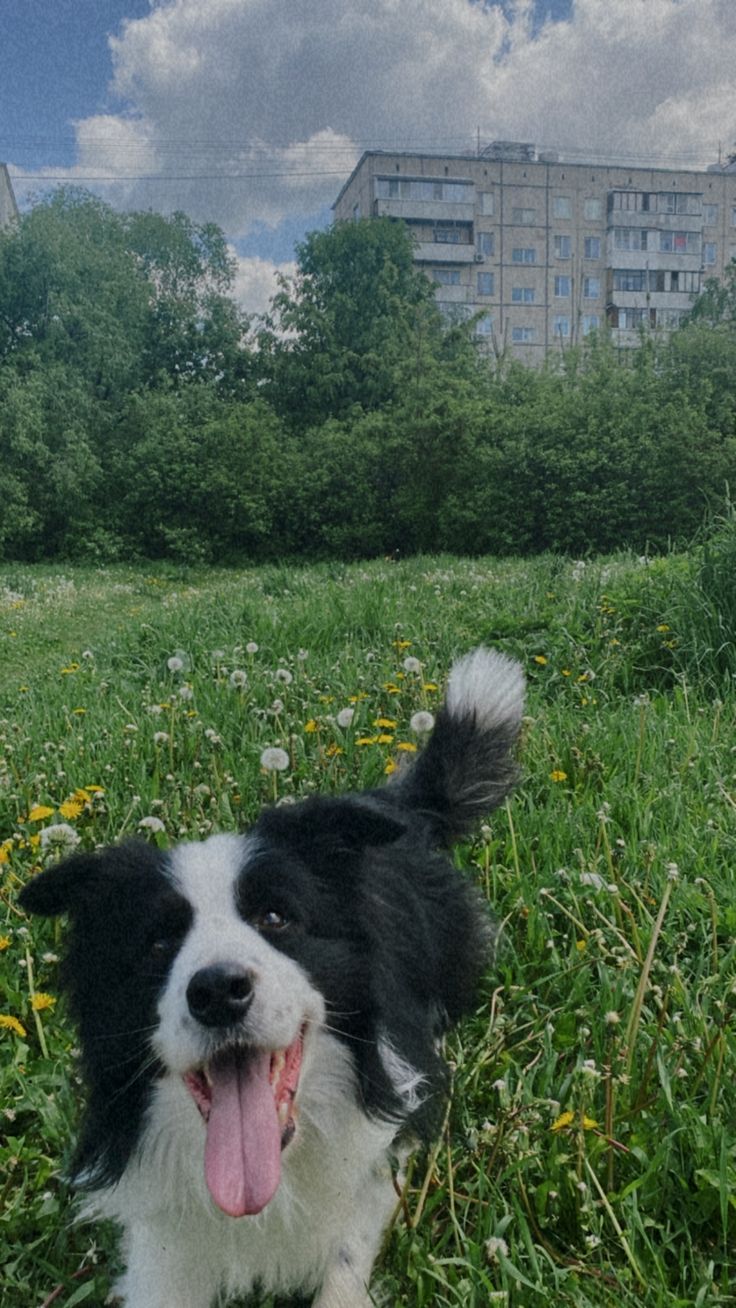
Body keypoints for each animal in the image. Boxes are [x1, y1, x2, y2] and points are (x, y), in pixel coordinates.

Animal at [21, 648, 522, 1308]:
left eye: (277, 917)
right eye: (157, 943)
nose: (217, 992)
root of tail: (395, 804)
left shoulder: (371, 1163)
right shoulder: (165, 1246)